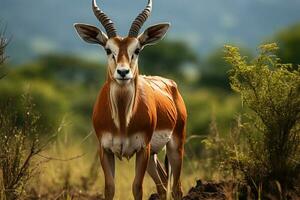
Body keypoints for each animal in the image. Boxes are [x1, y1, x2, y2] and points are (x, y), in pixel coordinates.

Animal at [74, 0, 188, 199]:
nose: (123, 72)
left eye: (137, 49)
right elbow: (110, 188)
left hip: (174, 146)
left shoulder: (142, 148)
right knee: (163, 183)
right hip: (153, 156)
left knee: (176, 188)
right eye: (108, 49)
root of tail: (171, 84)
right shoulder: (105, 150)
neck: (122, 122)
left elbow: (137, 188)